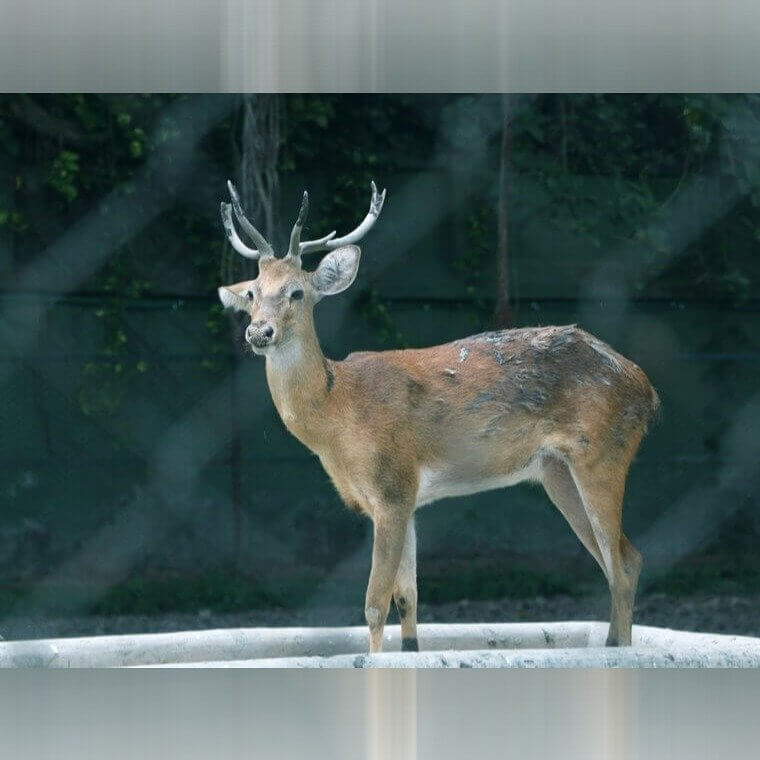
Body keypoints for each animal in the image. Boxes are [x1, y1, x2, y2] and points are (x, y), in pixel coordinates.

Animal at [217, 179, 660, 654]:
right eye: (252, 292)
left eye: (297, 292)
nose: (258, 331)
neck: (338, 412)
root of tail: (647, 389)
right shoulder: (404, 499)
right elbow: (407, 601)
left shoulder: (392, 486)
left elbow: (374, 605)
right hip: (557, 471)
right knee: (622, 560)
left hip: (603, 454)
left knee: (623, 564)